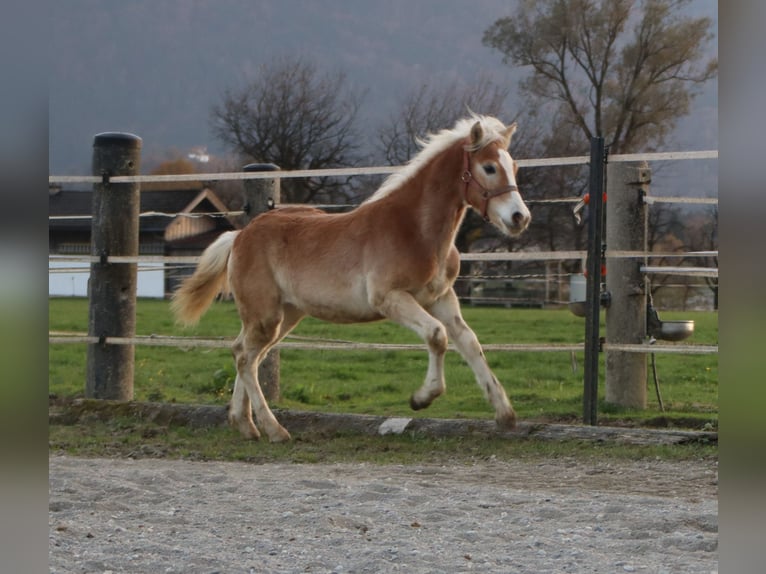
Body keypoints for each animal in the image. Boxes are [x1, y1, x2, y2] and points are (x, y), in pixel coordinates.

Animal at [172, 115, 536, 444]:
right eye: (489, 167)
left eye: (514, 166)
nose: (520, 217)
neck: (415, 230)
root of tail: (240, 235)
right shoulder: (390, 298)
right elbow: (437, 335)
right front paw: (421, 398)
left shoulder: (440, 298)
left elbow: (470, 342)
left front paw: (505, 414)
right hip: (265, 314)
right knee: (246, 358)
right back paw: (274, 430)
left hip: (284, 315)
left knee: (244, 353)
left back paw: (244, 424)